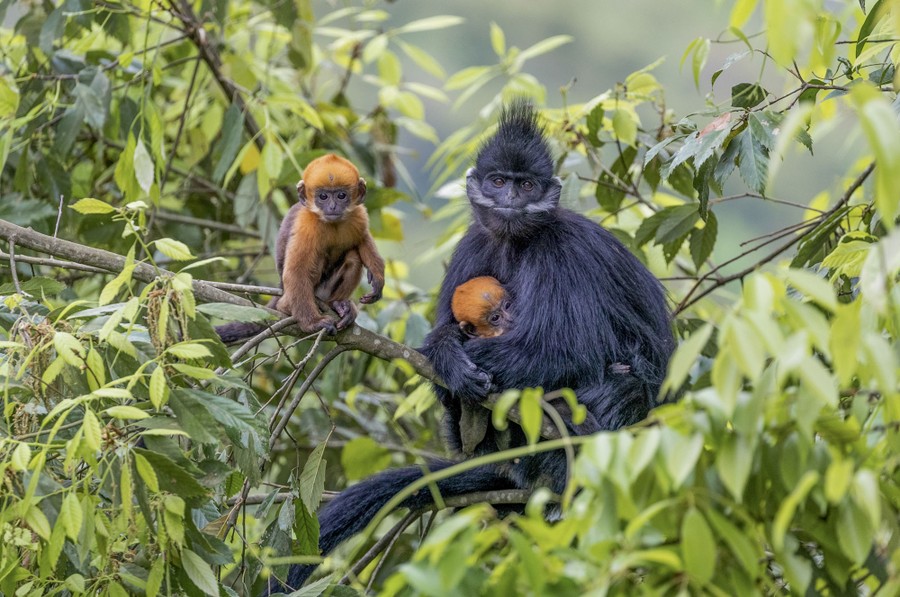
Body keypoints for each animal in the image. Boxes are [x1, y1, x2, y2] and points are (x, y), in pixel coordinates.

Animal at [276, 154, 384, 332]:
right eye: (323, 196)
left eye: (341, 195)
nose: (333, 207)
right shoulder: (306, 226)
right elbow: (296, 272)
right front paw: (312, 323)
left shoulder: (358, 215)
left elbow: (362, 239)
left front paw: (377, 275)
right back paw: (286, 307)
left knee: (353, 257)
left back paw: (336, 304)